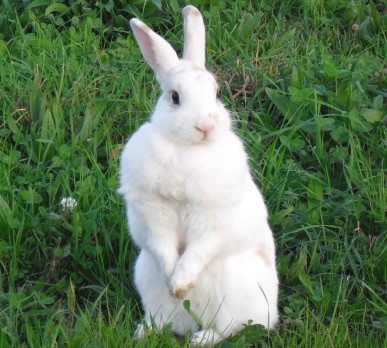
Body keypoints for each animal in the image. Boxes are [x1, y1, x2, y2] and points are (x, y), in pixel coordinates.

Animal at [119, 5, 278, 346]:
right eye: (174, 97)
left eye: (216, 93)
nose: (205, 126)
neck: (187, 148)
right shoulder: (154, 212)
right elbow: (163, 245)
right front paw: (174, 282)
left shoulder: (212, 218)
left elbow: (199, 249)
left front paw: (181, 283)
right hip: (145, 276)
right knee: (162, 318)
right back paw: (146, 330)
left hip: (234, 295)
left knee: (229, 329)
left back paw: (200, 338)